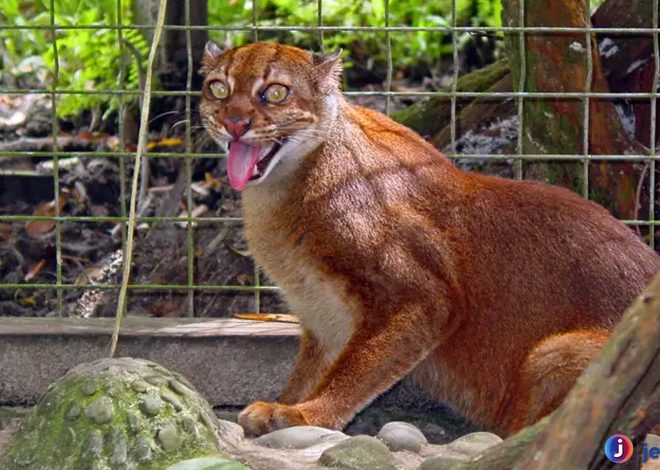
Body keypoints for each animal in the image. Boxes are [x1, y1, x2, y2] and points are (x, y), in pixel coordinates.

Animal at [199, 40, 656, 436]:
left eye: (275, 92)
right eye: (219, 87)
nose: (234, 123)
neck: (279, 193)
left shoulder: (421, 297)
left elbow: (355, 369)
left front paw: (304, 415)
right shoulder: (322, 314)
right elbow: (311, 369)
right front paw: (286, 401)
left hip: (557, 353)